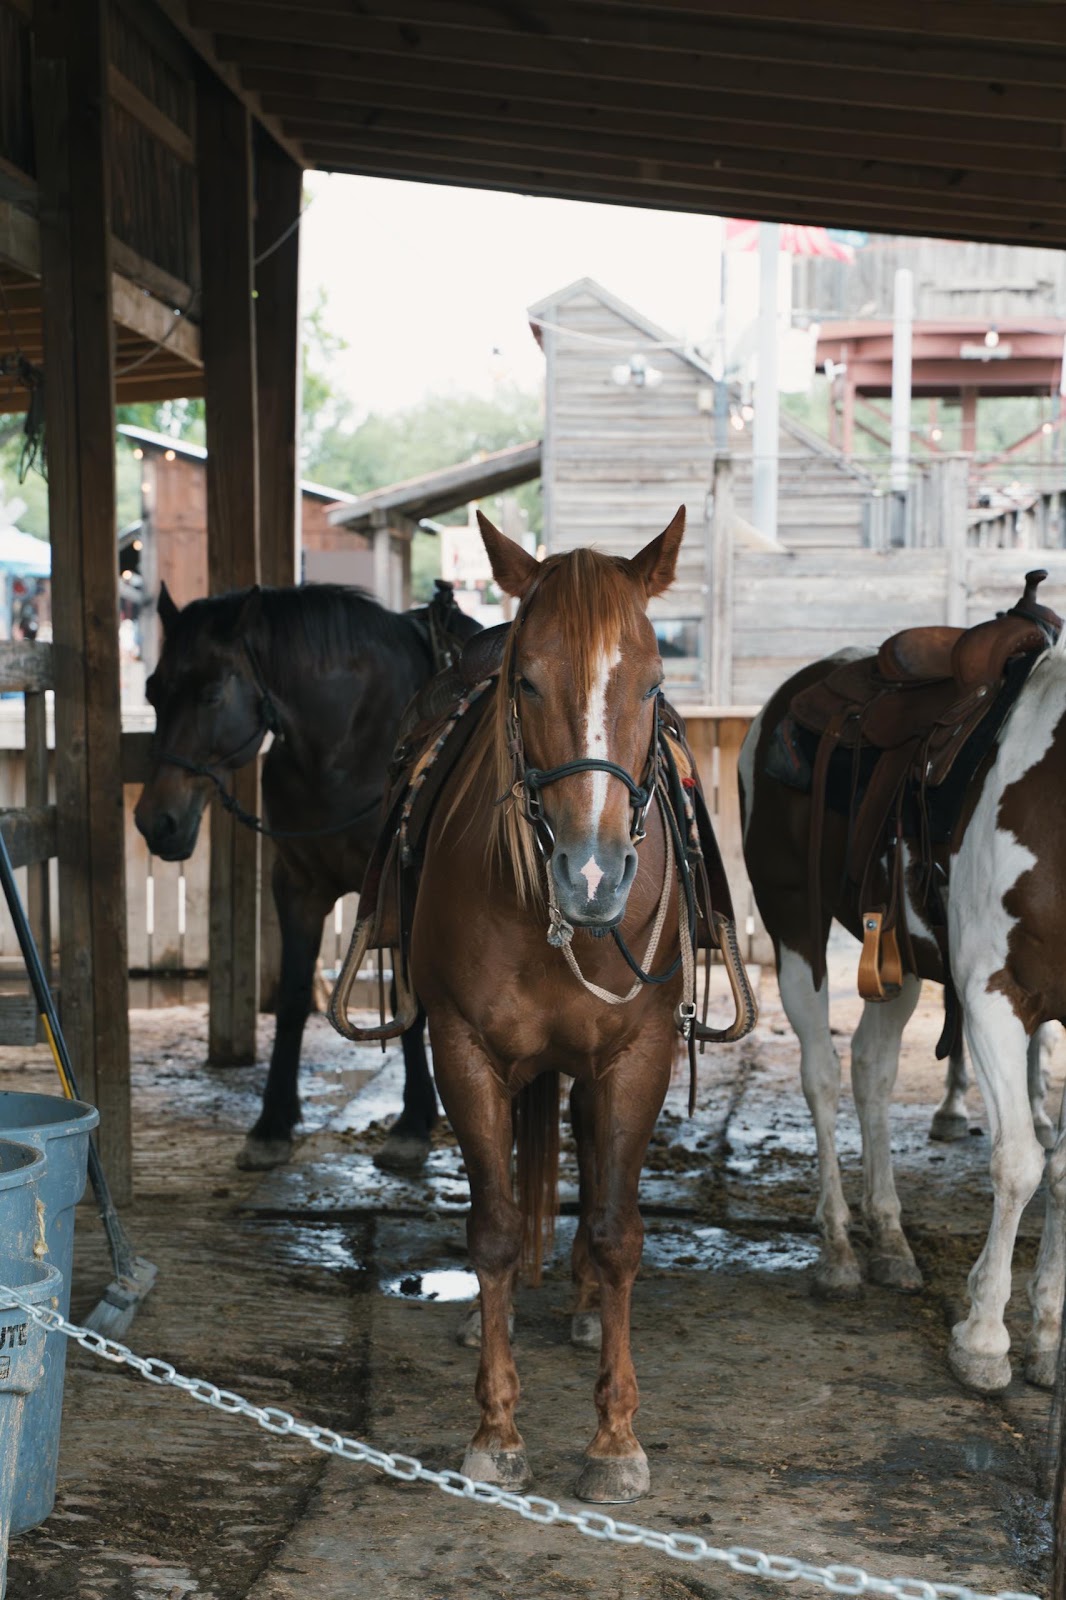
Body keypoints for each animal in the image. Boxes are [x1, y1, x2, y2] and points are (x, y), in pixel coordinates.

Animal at [134, 579, 479, 1172]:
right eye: (153, 692)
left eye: (211, 694)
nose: (157, 822)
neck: (348, 743)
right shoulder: (297, 888)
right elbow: (293, 998)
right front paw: (272, 1123)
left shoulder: (400, 894)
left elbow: (409, 1002)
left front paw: (412, 1123)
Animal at [339, 507, 753, 1503]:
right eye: (526, 682)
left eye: (652, 685)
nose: (593, 876)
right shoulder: (465, 1049)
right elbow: (491, 1230)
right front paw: (495, 1428)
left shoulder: (637, 1057)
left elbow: (615, 1230)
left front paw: (616, 1440)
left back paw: (581, 1304)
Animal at [739, 631, 1066, 1395]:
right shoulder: (993, 995)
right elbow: (1020, 1162)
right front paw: (983, 1338)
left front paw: (1046, 1336)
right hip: (794, 926)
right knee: (822, 1076)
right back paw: (837, 1252)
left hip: (899, 960)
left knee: (872, 1071)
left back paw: (889, 1238)